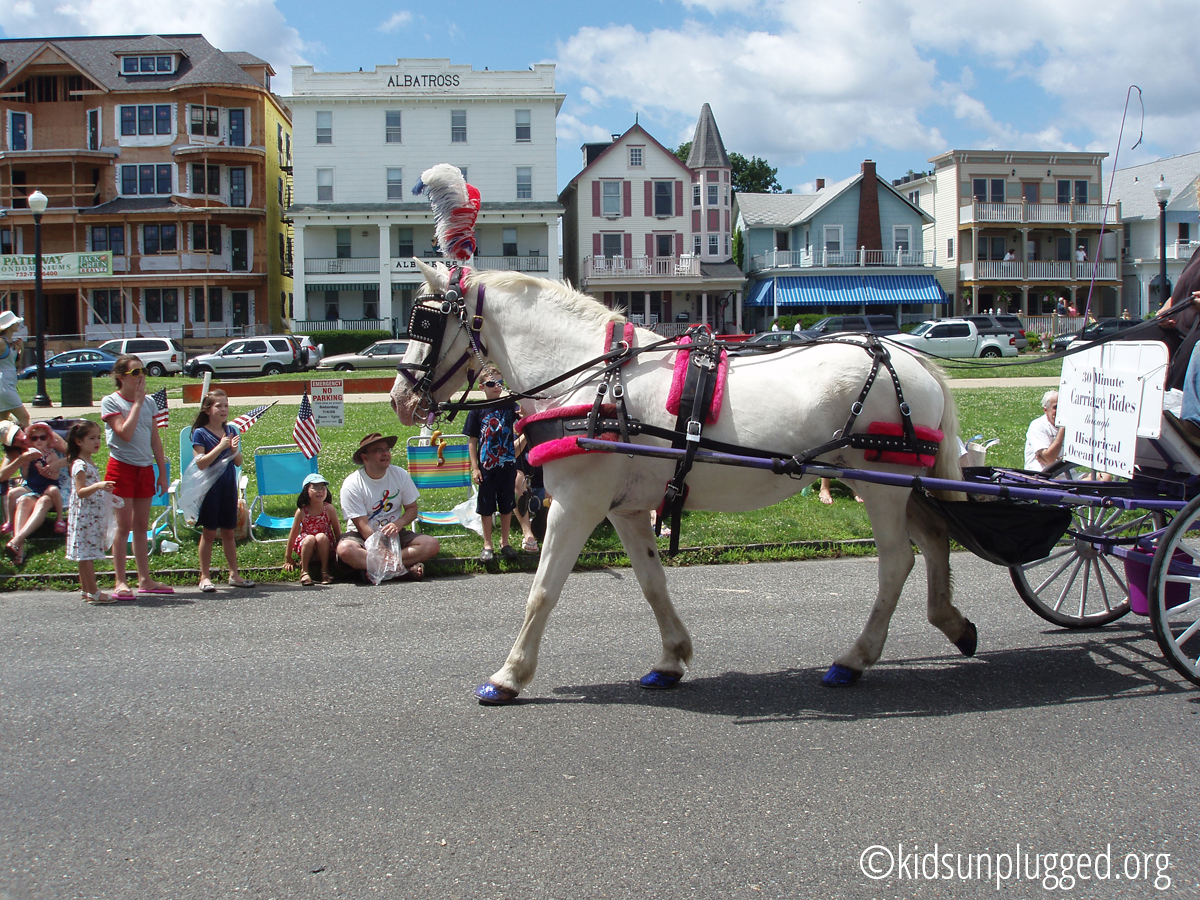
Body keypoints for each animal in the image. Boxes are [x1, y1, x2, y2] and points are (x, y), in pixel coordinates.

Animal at [393, 260, 974, 705]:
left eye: (425, 320)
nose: (400, 400)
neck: (594, 380)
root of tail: (913, 360)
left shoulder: (577, 504)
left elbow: (543, 590)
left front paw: (509, 675)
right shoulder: (624, 509)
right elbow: (652, 583)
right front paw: (671, 659)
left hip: (882, 486)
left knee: (897, 562)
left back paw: (854, 659)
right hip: (896, 485)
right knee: (936, 538)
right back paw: (952, 622)